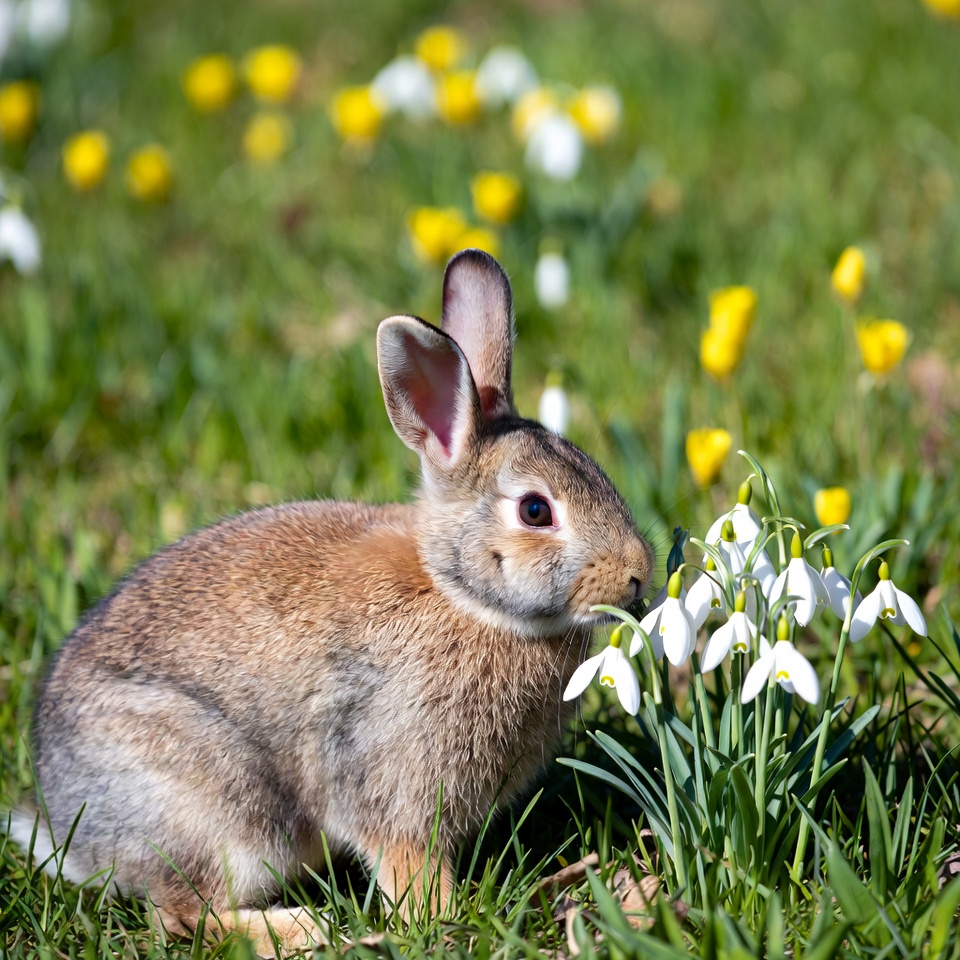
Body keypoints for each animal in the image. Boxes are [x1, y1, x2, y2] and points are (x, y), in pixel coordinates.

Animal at [9, 249, 655, 955]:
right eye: (536, 511)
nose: (639, 576)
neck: (460, 595)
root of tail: (76, 833)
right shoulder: (390, 782)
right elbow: (405, 860)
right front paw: (440, 917)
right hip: (222, 808)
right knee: (184, 914)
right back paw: (302, 926)